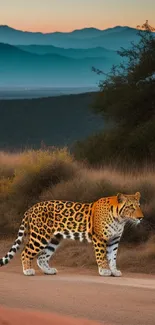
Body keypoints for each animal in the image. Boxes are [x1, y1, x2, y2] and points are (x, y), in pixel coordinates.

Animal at [0, 191, 143, 278]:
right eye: (131, 207)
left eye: (139, 206)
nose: (141, 218)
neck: (120, 219)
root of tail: (30, 208)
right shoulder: (100, 238)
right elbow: (101, 256)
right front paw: (104, 271)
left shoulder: (114, 240)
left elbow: (112, 257)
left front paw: (114, 271)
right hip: (40, 236)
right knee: (25, 252)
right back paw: (27, 271)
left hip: (54, 239)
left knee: (42, 257)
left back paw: (48, 271)